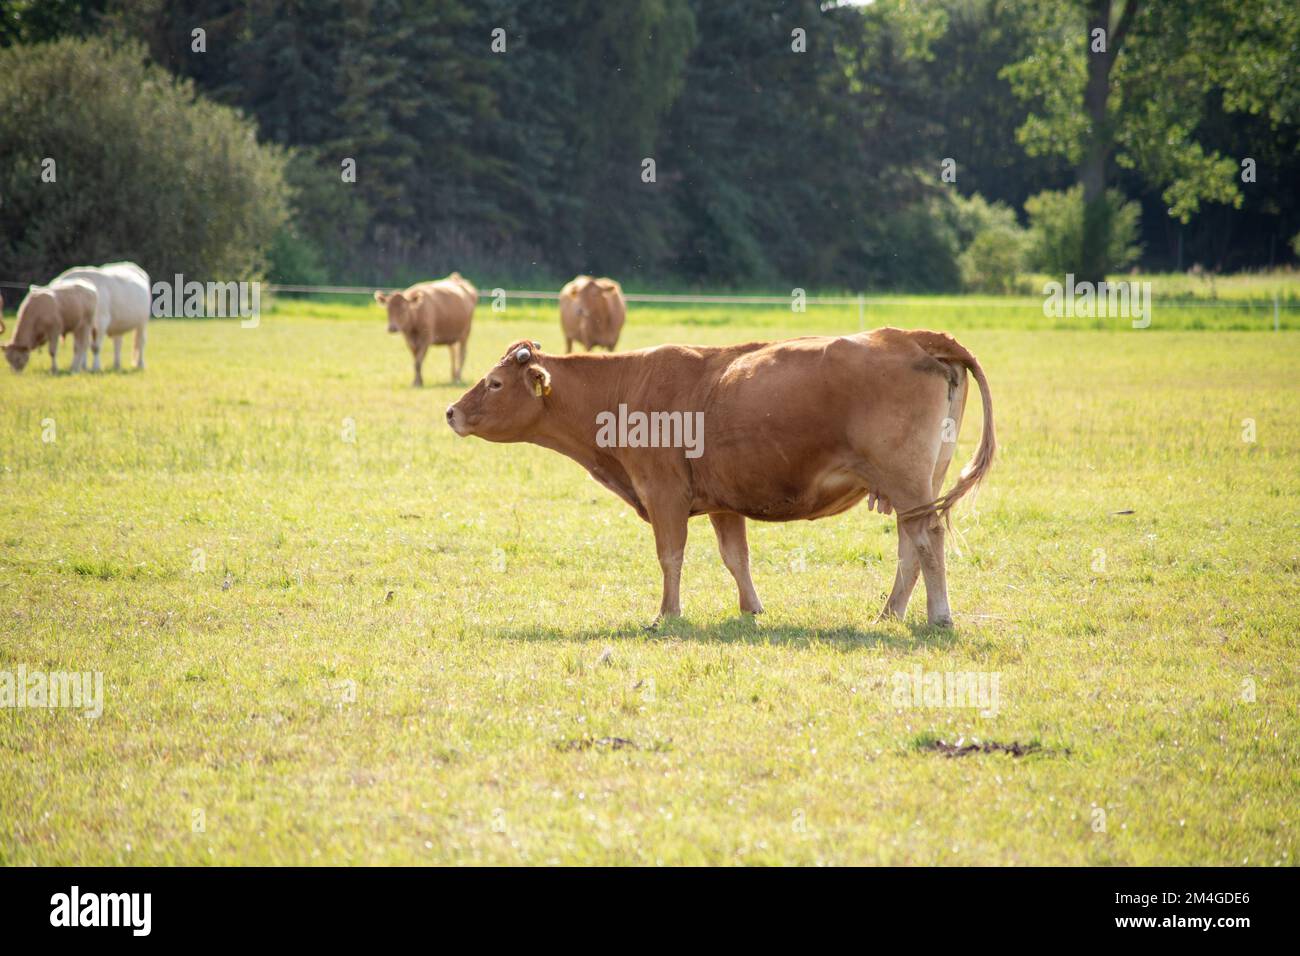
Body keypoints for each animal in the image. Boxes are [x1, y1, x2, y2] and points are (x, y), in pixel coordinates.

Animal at [446, 328, 995, 628]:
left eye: (494, 383)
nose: (451, 411)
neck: (625, 387)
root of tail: (911, 337)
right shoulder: (724, 502)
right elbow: (737, 558)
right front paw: (751, 609)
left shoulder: (664, 494)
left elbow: (671, 557)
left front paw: (667, 613)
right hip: (916, 485)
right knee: (910, 544)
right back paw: (889, 613)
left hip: (907, 481)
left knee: (928, 539)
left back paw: (939, 615)